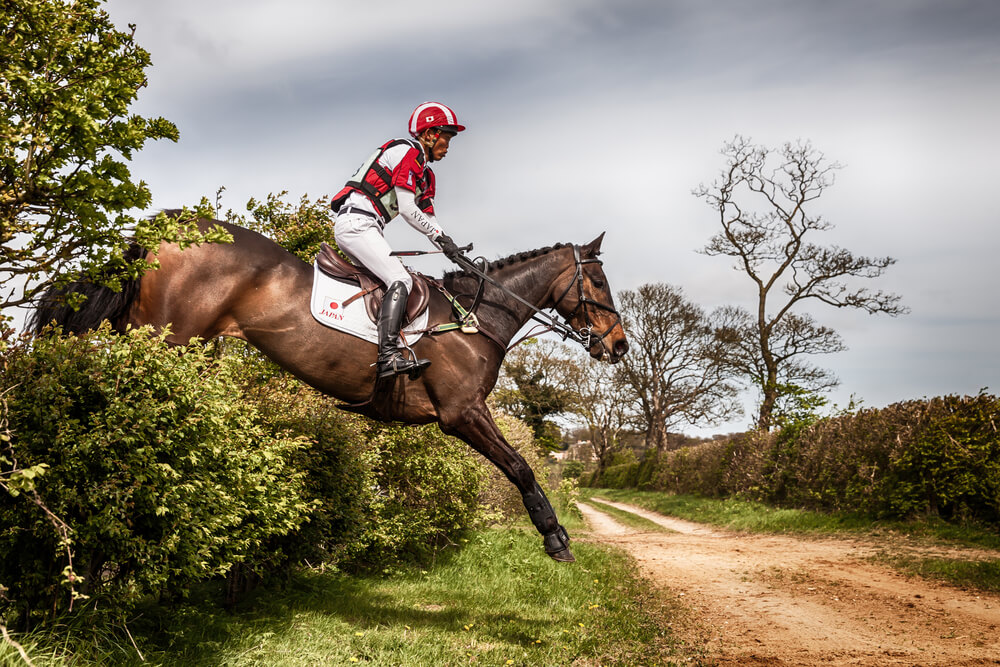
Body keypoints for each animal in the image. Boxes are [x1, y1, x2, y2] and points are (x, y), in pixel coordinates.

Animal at [31, 218, 629, 562]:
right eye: (599, 282)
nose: (619, 346)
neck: (474, 317)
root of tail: (166, 229)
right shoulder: (462, 412)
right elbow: (521, 467)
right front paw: (555, 537)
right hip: (164, 338)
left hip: (151, 331)